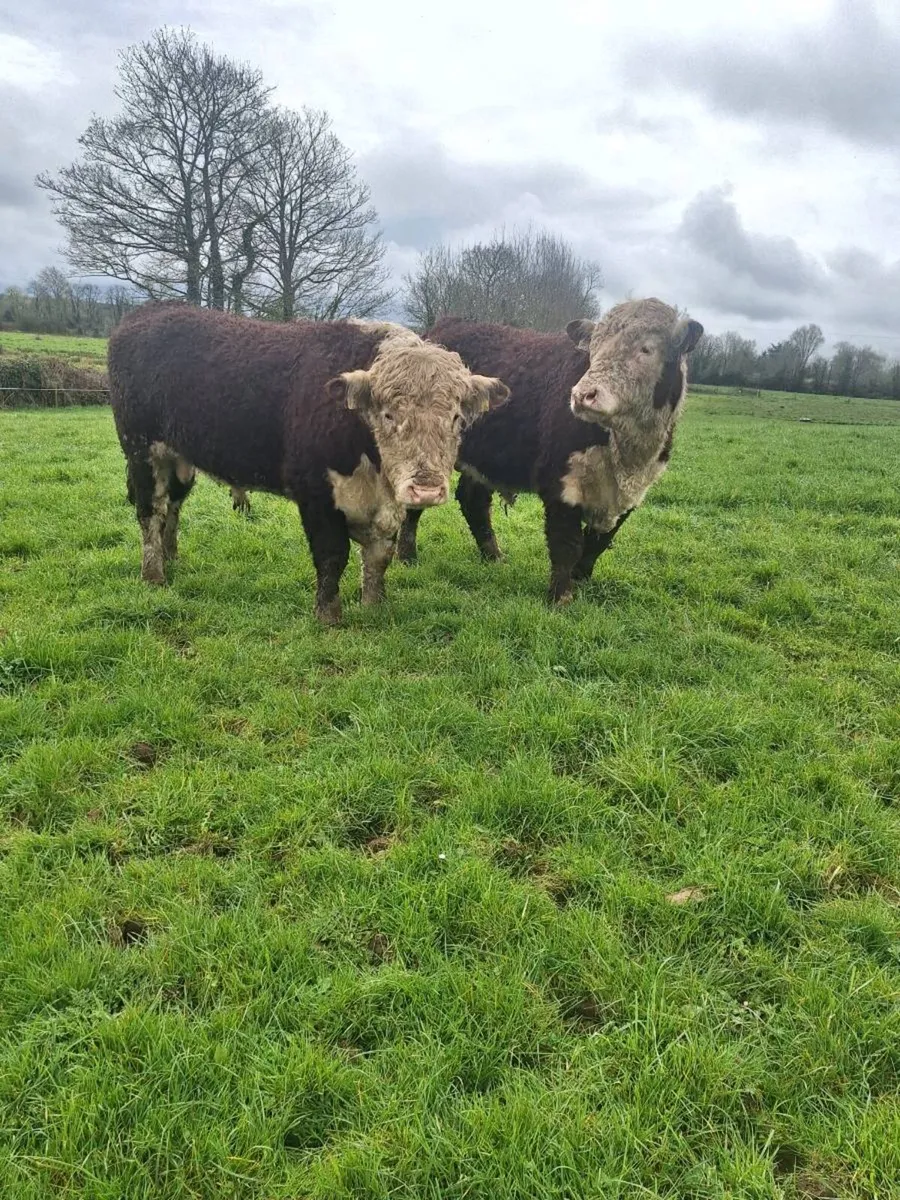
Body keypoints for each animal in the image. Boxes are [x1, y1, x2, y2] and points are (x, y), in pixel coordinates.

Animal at [108, 304, 509, 624]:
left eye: (456, 418)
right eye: (389, 414)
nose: (425, 487)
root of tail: (149, 311)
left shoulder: (386, 505)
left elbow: (379, 556)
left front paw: (374, 606)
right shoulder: (316, 493)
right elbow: (332, 556)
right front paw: (328, 616)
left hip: (179, 460)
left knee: (172, 508)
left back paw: (171, 559)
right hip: (142, 452)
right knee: (151, 513)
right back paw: (154, 575)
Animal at [398, 299, 703, 603]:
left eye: (646, 349)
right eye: (593, 350)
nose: (583, 395)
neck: (626, 454)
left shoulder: (632, 493)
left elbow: (598, 542)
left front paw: (581, 578)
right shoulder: (559, 483)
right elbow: (566, 543)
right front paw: (561, 597)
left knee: (474, 501)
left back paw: (494, 556)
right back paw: (407, 556)